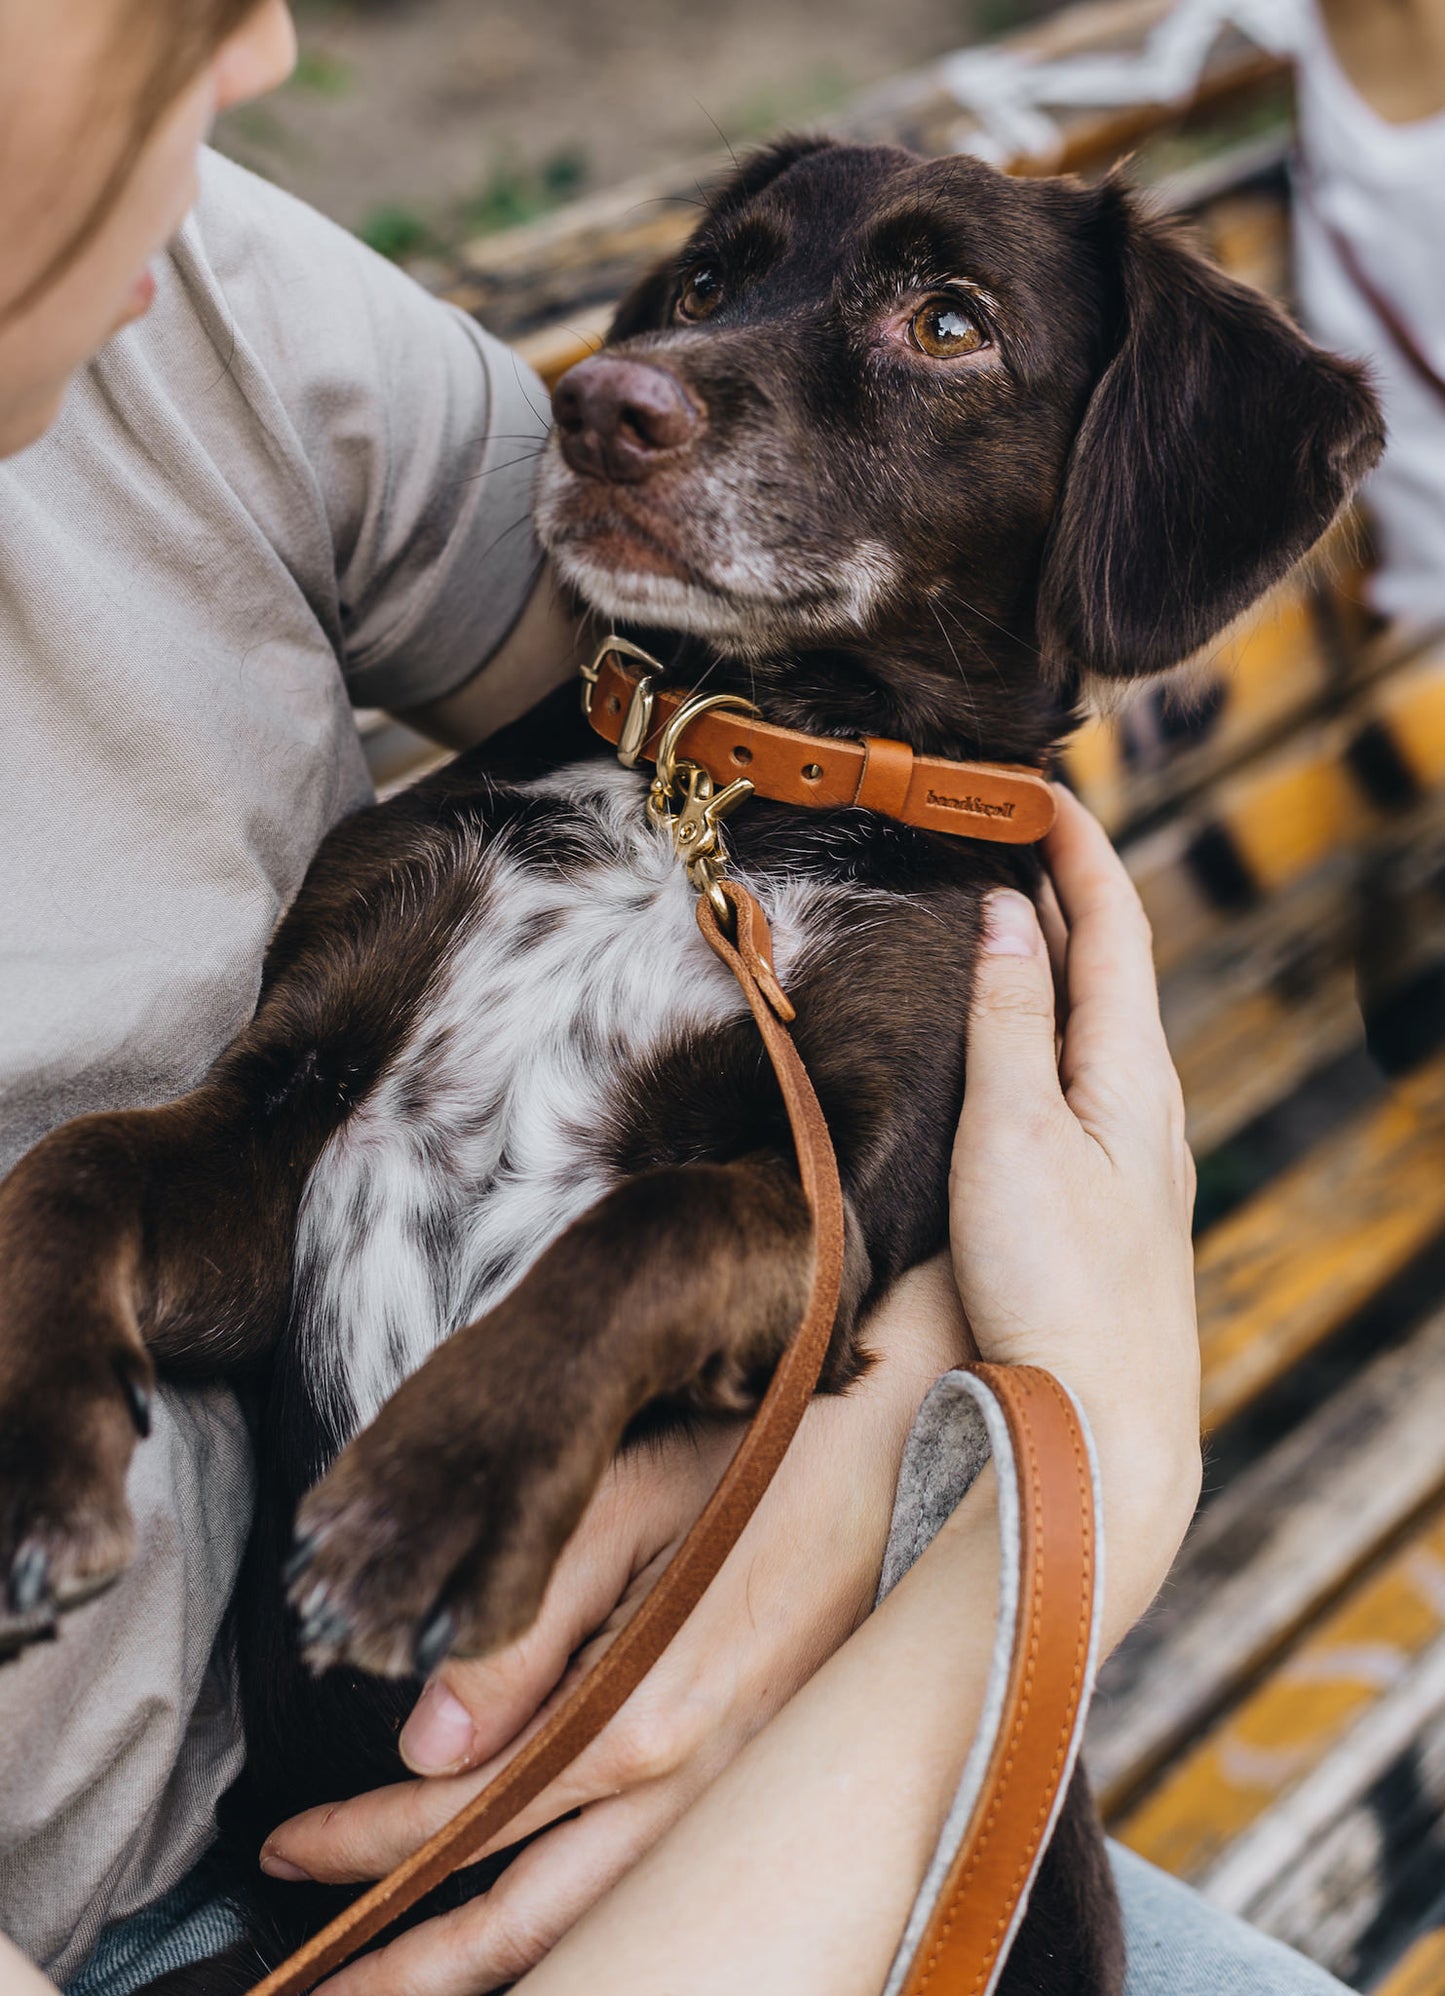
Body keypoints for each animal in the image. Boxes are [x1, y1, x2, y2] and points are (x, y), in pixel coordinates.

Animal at [0, 136, 1381, 1980]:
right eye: (711, 281)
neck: (723, 777)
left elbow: (647, 1227)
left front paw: (435, 1489)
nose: (601, 404)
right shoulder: (285, 1136)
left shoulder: (837, 1198)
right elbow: (70, 1163)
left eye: (950, 323)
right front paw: (33, 1450)